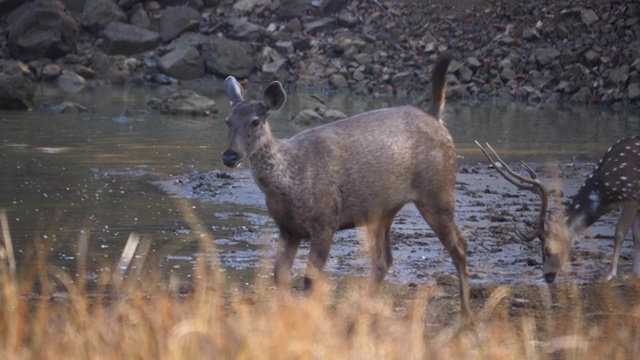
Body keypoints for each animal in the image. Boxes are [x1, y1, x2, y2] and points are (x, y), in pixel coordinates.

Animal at [222, 52, 472, 318]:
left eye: (255, 122)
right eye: (228, 121)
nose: (229, 156)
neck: (289, 181)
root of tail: (435, 117)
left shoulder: (325, 221)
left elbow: (310, 279)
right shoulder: (288, 229)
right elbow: (279, 276)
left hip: (438, 191)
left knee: (459, 247)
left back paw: (466, 312)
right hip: (382, 210)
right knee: (384, 260)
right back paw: (361, 310)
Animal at [478, 138, 640, 284]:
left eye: (547, 250)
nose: (547, 276)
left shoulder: (630, 198)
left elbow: (619, 235)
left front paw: (609, 275)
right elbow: (636, 237)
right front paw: (634, 274)